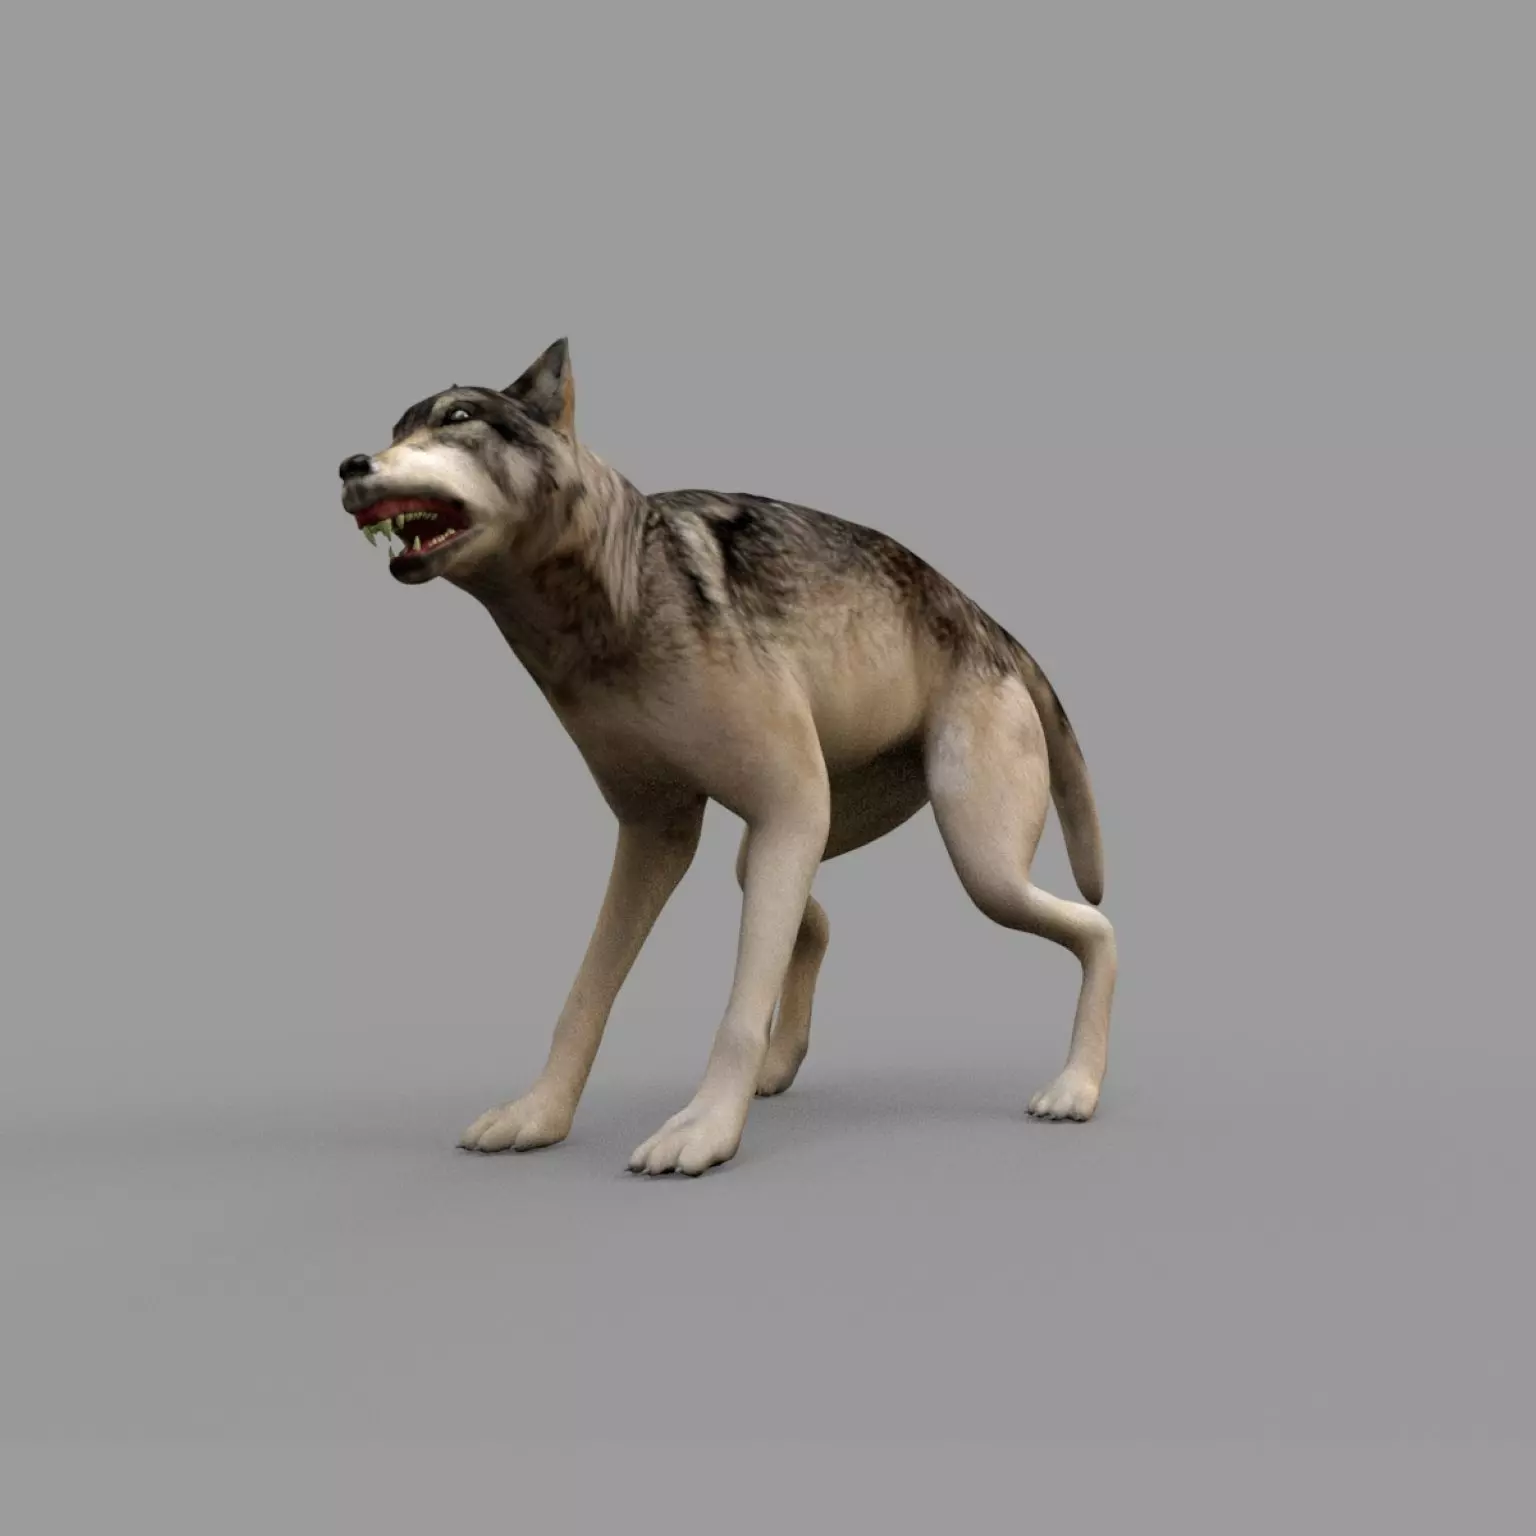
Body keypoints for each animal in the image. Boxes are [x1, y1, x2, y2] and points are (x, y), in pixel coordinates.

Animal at [338, 339, 1117, 1176]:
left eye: (457, 419)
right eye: (395, 429)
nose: (351, 465)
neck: (612, 597)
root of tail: (993, 626)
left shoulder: (782, 810)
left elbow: (738, 1008)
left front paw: (706, 1129)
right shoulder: (658, 831)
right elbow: (586, 994)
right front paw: (539, 1114)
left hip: (978, 864)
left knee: (1098, 929)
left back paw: (1076, 1088)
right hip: (814, 831)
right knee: (818, 922)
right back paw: (781, 1070)